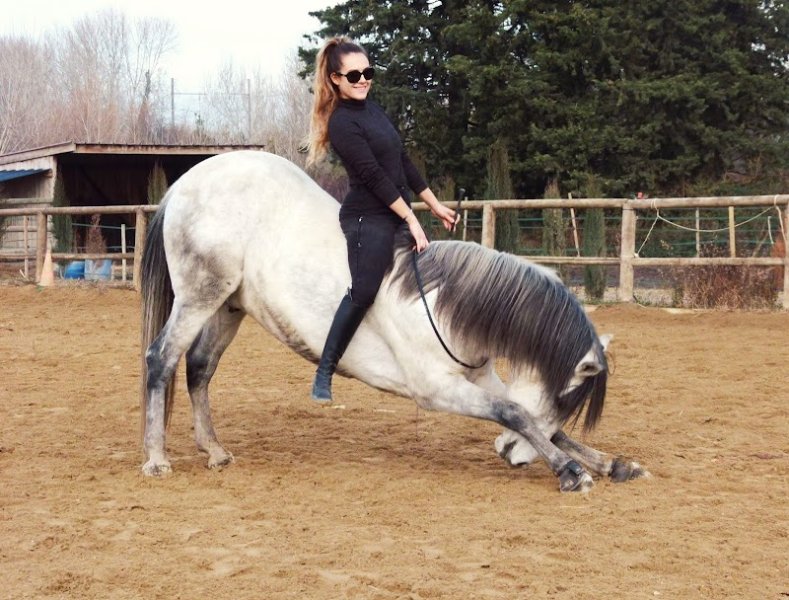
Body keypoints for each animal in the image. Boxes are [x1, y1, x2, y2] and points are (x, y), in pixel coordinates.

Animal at [140, 150, 648, 493]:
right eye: (566, 398)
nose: (510, 456)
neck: (443, 300)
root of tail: (184, 184)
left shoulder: (478, 376)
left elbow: (526, 414)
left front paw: (612, 464)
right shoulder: (436, 389)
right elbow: (515, 412)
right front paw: (570, 471)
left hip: (228, 305)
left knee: (199, 368)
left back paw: (214, 450)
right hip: (199, 296)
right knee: (160, 360)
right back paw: (156, 458)